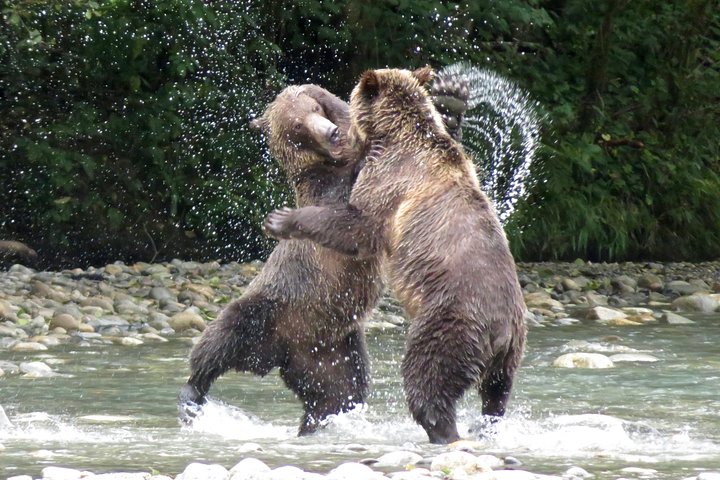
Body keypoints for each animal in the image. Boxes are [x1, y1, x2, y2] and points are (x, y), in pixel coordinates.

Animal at [179, 77, 470, 435]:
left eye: (315, 107)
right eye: (297, 127)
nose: (331, 133)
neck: (332, 159)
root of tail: (281, 353)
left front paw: (451, 105)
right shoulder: (327, 190)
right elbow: (348, 211)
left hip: (336, 350)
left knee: (340, 391)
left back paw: (314, 422)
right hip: (271, 306)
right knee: (223, 335)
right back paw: (192, 391)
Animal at [263, 67, 527, 444]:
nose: (337, 130)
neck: (397, 132)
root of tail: (502, 332)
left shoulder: (388, 182)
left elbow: (357, 226)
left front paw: (282, 219)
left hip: (452, 320)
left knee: (428, 376)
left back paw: (441, 429)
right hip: (510, 355)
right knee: (496, 394)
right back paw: (484, 426)